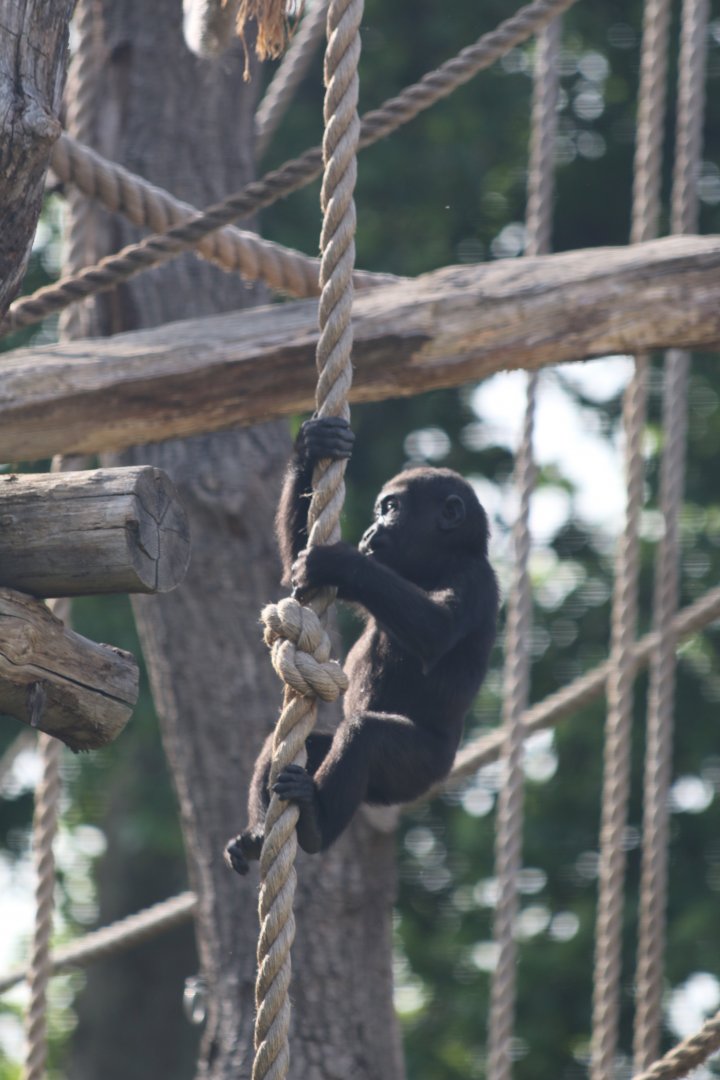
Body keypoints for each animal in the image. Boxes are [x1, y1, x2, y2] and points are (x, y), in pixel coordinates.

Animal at [225, 416, 498, 871]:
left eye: (391, 508)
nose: (371, 529)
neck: (440, 559)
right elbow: (294, 563)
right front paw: (313, 443)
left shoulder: (474, 580)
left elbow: (436, 630)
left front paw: (339, 560)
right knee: (305, 744)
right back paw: (260, 833)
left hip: (418, 770)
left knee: (365, 735)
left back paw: (315, 824)